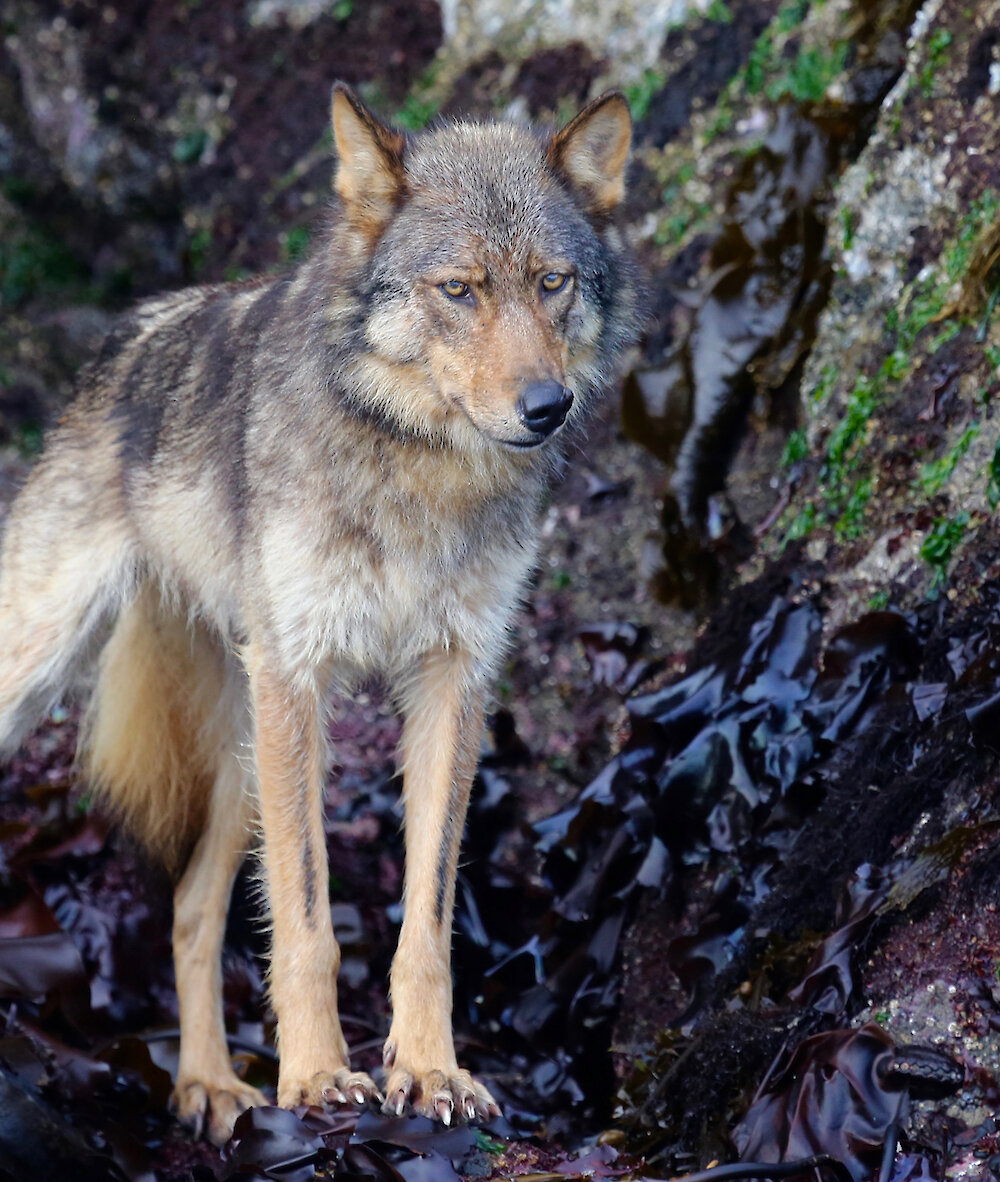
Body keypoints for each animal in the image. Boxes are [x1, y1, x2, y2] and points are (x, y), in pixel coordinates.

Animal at [0, 83, 643, 1144]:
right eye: (460, 290)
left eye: (551, 283)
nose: (546, 406)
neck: (420, 467)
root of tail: (123, 341)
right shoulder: (299, 674)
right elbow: (306, 917)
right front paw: (315, 1079)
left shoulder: (454, 681)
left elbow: (426, 918)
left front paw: (428, 1071)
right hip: (96, 682)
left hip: (246, 754)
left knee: (191, 906)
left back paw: (210, 1087)